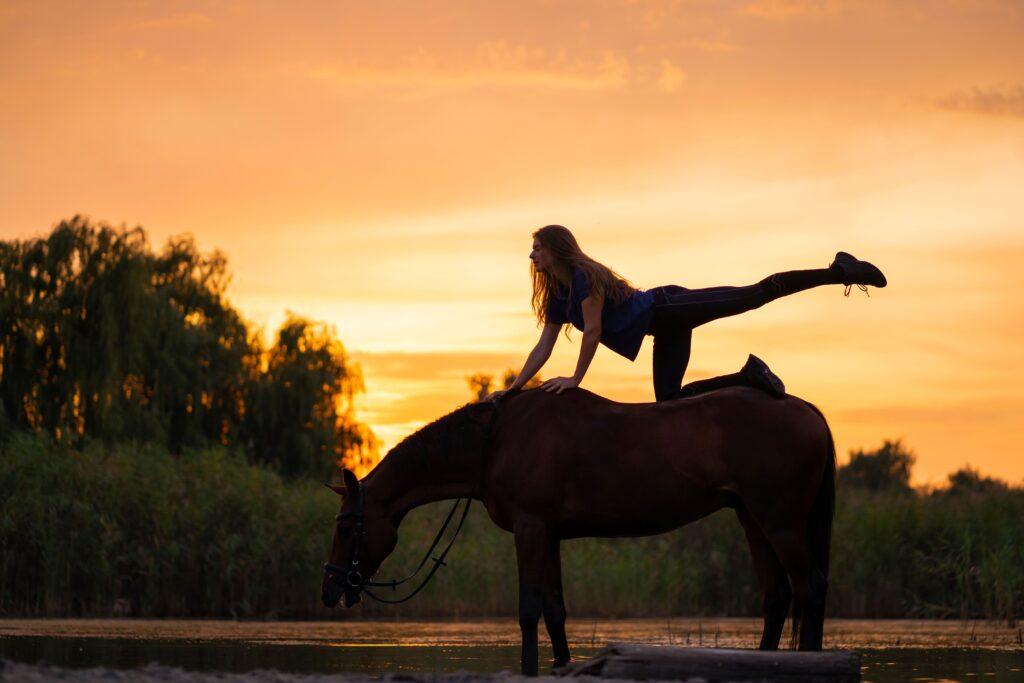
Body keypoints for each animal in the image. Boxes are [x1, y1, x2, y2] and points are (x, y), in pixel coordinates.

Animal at [323, 387, 835, 675]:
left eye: (346, 525)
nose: (330, 590)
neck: (495, 442)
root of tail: (807, 409)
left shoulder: (530, 530)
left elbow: (528, 610)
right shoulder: (548, 535)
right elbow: (555, 612)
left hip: (779, 522)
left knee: (810, 589)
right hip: (753, 520)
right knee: (777, 598)